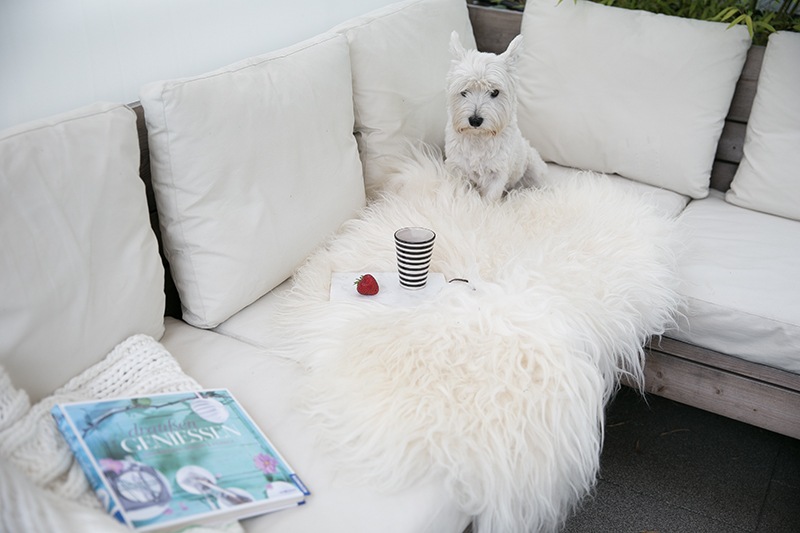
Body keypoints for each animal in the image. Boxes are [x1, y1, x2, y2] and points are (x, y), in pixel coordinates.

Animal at [444, 32, 552, 202]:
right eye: (464, 91)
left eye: (495, 92)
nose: (475, 120)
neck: (478, 139)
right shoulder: (457, 169)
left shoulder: (497, 174)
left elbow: (489, 200)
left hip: (533, 167)